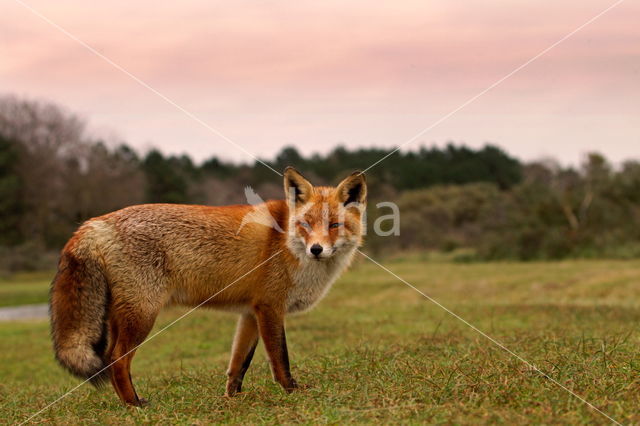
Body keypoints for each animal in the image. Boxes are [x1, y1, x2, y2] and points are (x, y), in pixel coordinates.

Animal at [50, 166, 368, 406]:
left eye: (334, 225)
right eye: (306, 224)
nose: (316, 249)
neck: (288, 245)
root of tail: (94, 223)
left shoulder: (251, 313)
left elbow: (239, 364)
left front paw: (231, 399)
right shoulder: (270, 307)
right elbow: (280, 358)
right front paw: (291, 390)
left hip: (124, 316)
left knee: (111, 359)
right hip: (142, 315)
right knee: (117, 360)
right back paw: (134, 405)